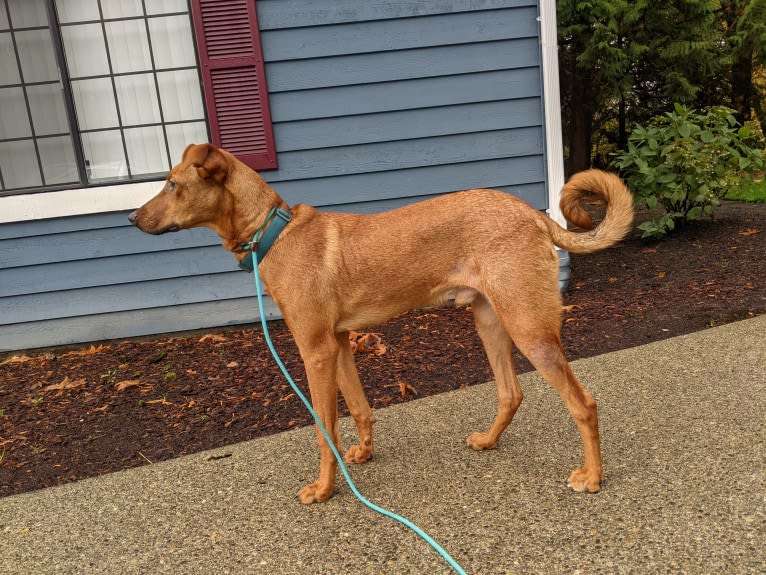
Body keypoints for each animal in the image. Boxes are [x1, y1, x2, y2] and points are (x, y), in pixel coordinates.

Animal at [130, 144, 636, 504]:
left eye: (172, 184)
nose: (132, 218)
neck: (274, 234)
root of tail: (531, 213)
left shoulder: (315, 350)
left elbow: (324, 428)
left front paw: (324, 490)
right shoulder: (339, 342)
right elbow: (359, 408)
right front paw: (365, 454)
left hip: (530, 329)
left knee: (583, 404)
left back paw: (592, 478)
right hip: (490, 322)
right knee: (511, 393)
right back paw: (488, 441)